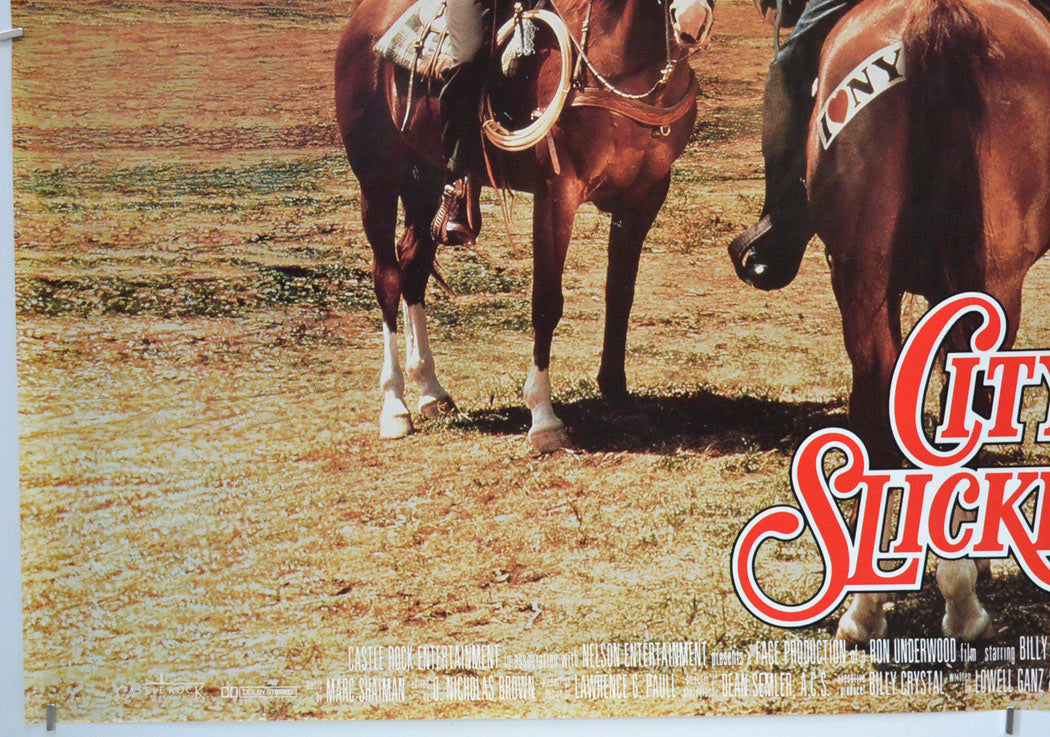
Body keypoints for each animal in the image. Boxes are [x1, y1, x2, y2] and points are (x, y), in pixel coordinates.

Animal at [336, 0, 713, 453]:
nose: (691, 21)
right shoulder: (557, 193)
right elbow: (546, 302)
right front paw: (544, 418)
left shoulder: (646, 195)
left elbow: (620, 294)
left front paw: (616, 392)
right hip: (377, 181)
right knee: (388, 278)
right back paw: (395, 407)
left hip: (425, 178)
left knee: (413, 269)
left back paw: (430, 390)